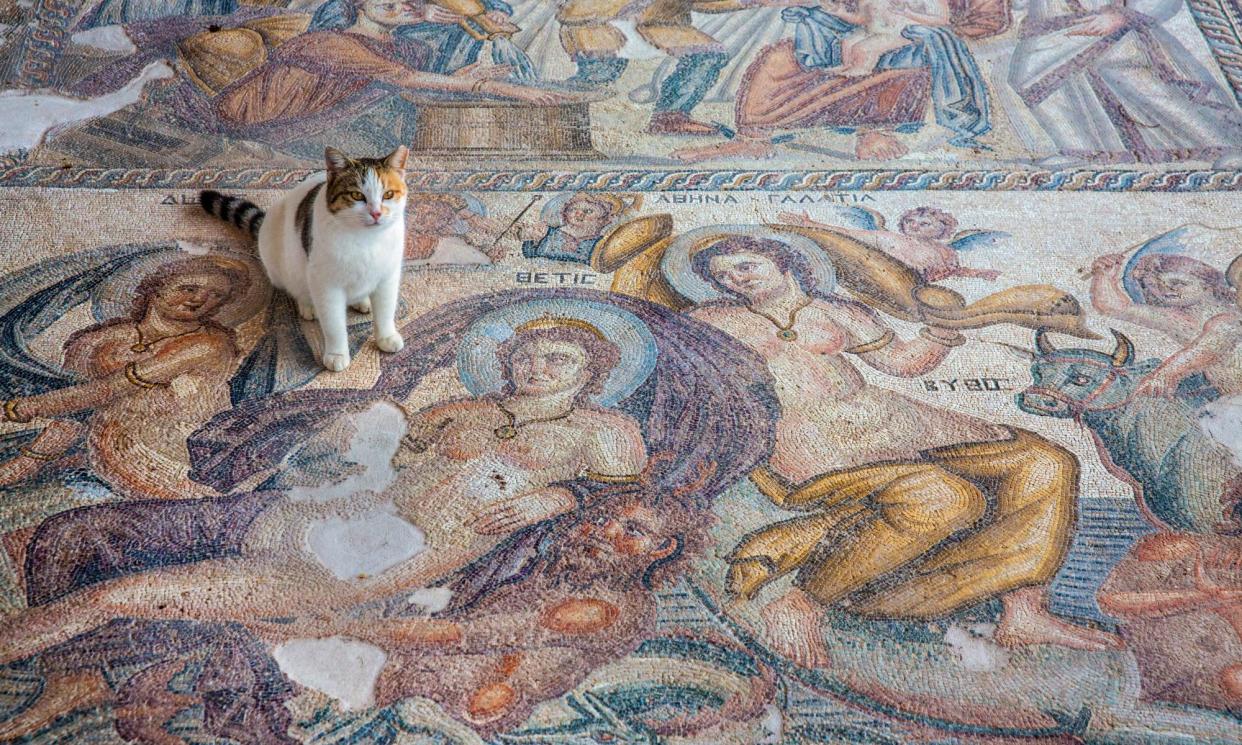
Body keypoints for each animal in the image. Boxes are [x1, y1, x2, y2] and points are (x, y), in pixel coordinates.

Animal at [201, 144, 409, 370]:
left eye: (388, 194)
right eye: (356, 195)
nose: (376, 213)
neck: (367, 241)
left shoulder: (388, 277)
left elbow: (386, 311)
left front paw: (386, 337)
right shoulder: (326, 285)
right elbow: (334, 324)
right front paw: (336, 353)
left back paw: (362, 301)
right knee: (297, 287)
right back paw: (308, 304)